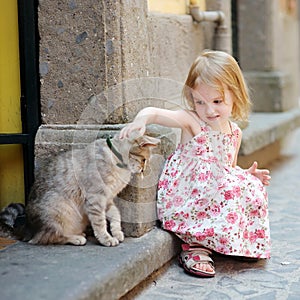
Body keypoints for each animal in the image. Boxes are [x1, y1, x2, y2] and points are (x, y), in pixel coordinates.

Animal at [0, 133, 159, 246]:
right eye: (144, 160)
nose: (143, 170)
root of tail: (26, 228)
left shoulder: (108, 199)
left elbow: (116, 215)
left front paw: (117, 232)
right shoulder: (96, 199)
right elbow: (100, 223)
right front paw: (106, 238)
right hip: (58, 210)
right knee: (48, 238)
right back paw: (75, 238)